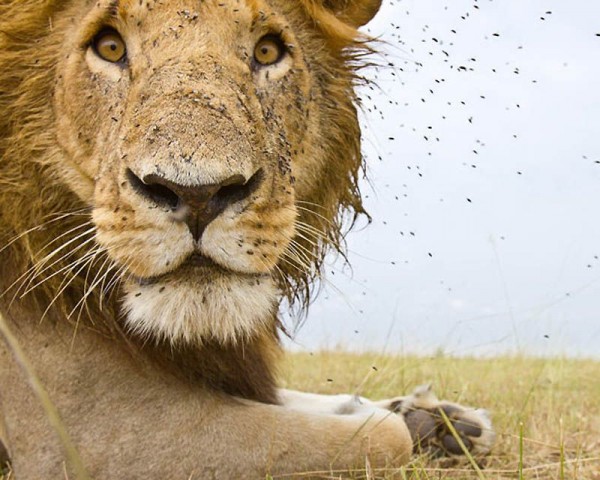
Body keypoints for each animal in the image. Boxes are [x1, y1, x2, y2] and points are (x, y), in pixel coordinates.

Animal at [0, 0, 496, 476]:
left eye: (267, 51)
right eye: (109, 47)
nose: (198, 194)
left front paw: (439, 418)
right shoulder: (91, 437)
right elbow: (384, 436)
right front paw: (405, 421)